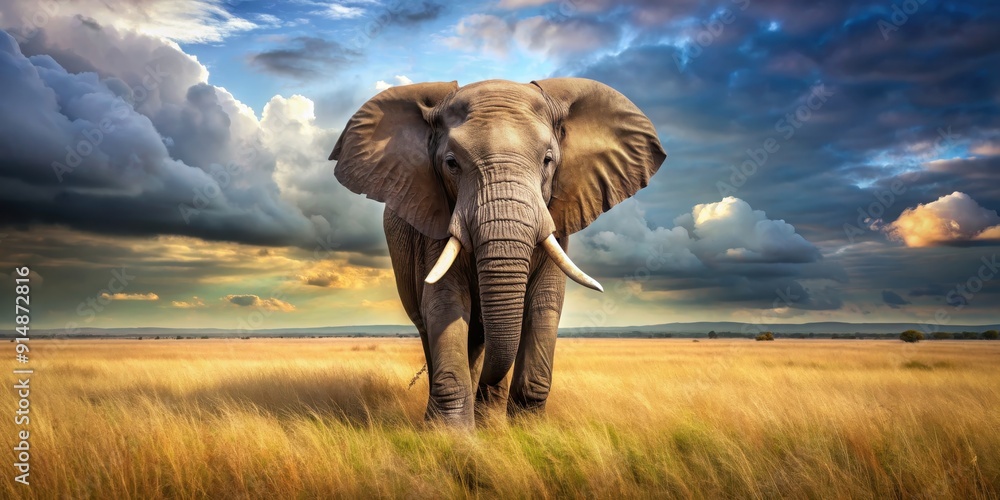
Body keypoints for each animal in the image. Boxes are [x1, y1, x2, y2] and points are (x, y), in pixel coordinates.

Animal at [330, 78, 665, 429]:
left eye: (548, 160)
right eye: (451, 164)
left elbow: (544, 303)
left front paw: (530, 431)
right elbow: (444, 302)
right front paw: (450, 435)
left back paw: (489, 420)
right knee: (433, 330)